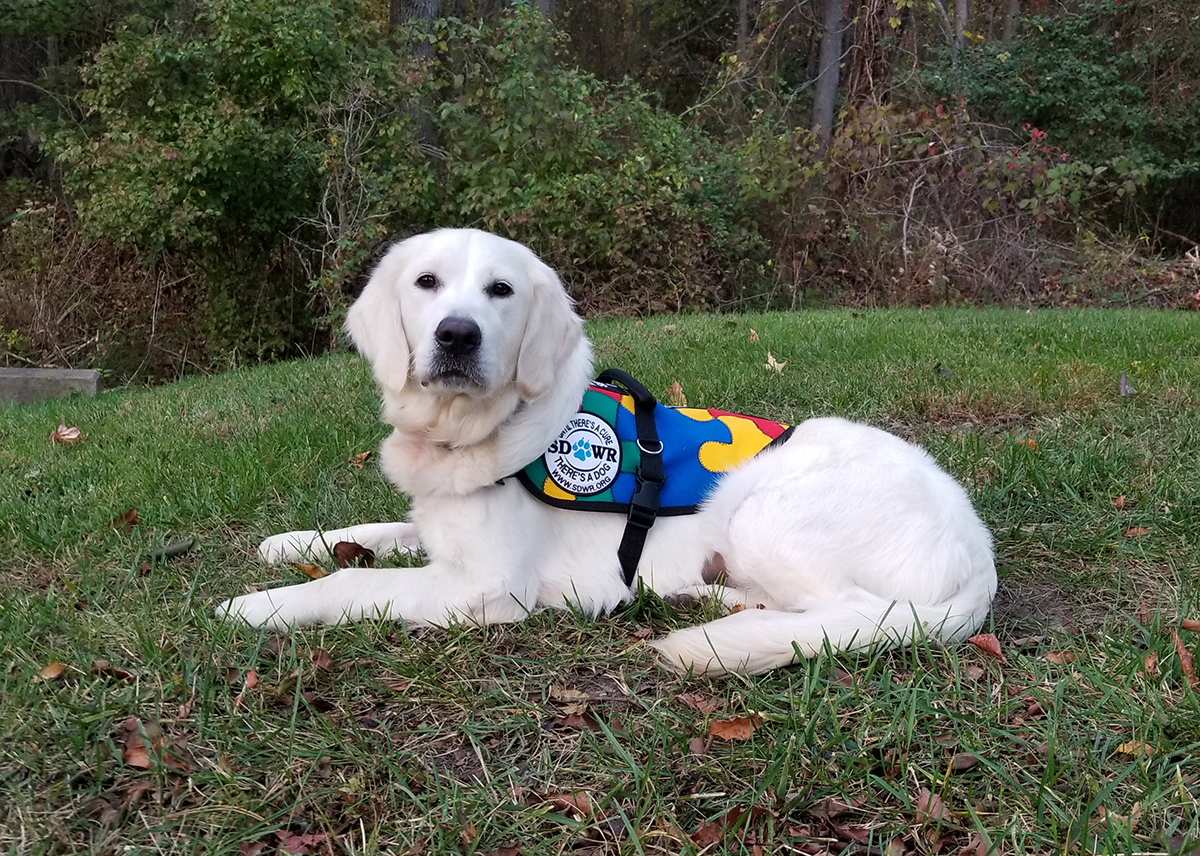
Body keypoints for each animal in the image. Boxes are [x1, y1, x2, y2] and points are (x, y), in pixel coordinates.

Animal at [220, 226, 998, 672]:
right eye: (426, 283)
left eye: (500, 290)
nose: (456, 335)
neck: (478, 430)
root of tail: (979, 549)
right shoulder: (439, 524)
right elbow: (372, 531)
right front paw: (288, 543)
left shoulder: (485, 585)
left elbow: (350, 583)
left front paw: (256, 606)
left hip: (769, 515)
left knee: (849, 612)